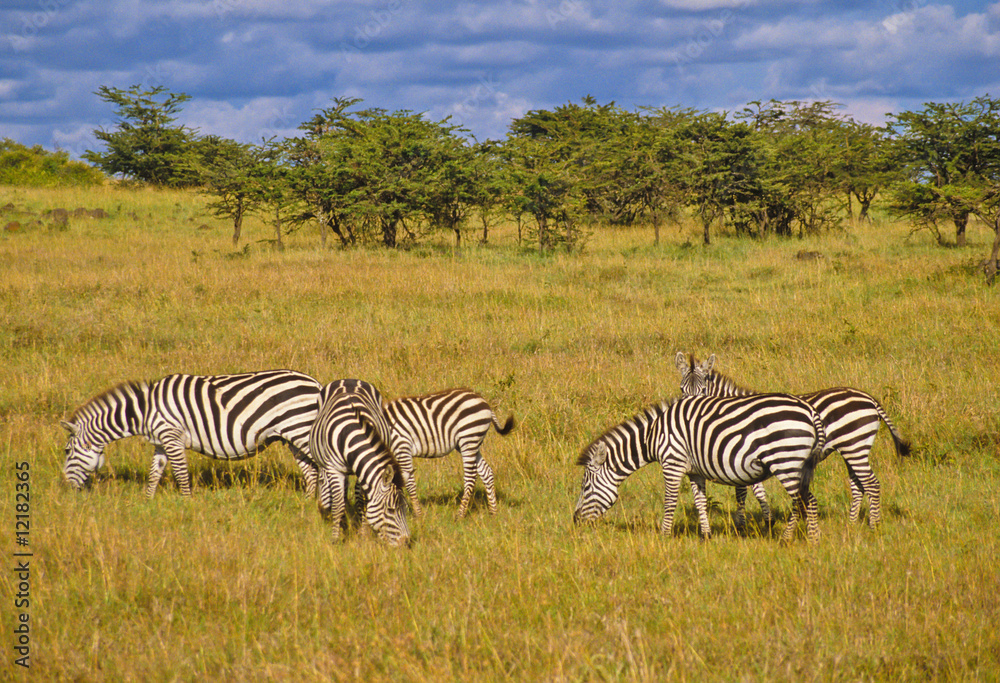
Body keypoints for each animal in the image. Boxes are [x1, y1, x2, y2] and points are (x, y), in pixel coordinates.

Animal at [61, 370, 324, 497]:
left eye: (66, 451)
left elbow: (180, 473)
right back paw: (307, 502)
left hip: (299, 429)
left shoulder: (172, 436)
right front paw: (147, 501)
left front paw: (187, 503)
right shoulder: (160, 442)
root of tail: (316, 384)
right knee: (310, 471)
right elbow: (154, 473)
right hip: (292, 435)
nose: (67, 489)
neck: (146, 410)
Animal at [309, 381, 410, 547]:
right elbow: (338, 505)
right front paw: (336, 538)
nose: (405, 542)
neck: (351, 434)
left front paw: (363, 534)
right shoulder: (335, 469)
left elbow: (362, 502)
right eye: (390, 510)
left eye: (405, 508)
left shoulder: (363, 472)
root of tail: (348, 379)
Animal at [383, 389, 515, 517]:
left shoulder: (402, 447)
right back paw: (493, 512)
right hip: (470, 443)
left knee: (471, 477)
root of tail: (484, 402)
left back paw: (460, 514)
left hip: (469, 437)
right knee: (486, 472)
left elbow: (408, 482)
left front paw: (417, 514)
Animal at [573, 394, 827, 542]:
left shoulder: (672, 463)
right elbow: (700, 502)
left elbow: (670, 501)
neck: (653, 436)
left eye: (585, 488)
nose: (575, 522)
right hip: (800, 466)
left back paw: (799, 539)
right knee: (805, 501)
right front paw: (706, 535)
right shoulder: (695, 471)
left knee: (804, 501)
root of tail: (810, 410)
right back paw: (805, 538)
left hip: (786, 461)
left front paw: (664, 536)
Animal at [675, 352, 911, 527]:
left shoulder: (740, 452)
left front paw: (743, 524)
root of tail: (870, 399)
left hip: (855, 446)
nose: (690, 410)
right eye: (682, 389)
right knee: (858, 485)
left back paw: (873, 524)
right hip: (852, 448)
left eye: (703, 390)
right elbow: (757, 489)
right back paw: (852, 525)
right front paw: (768, 521)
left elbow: (743, 490)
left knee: (871, 483)